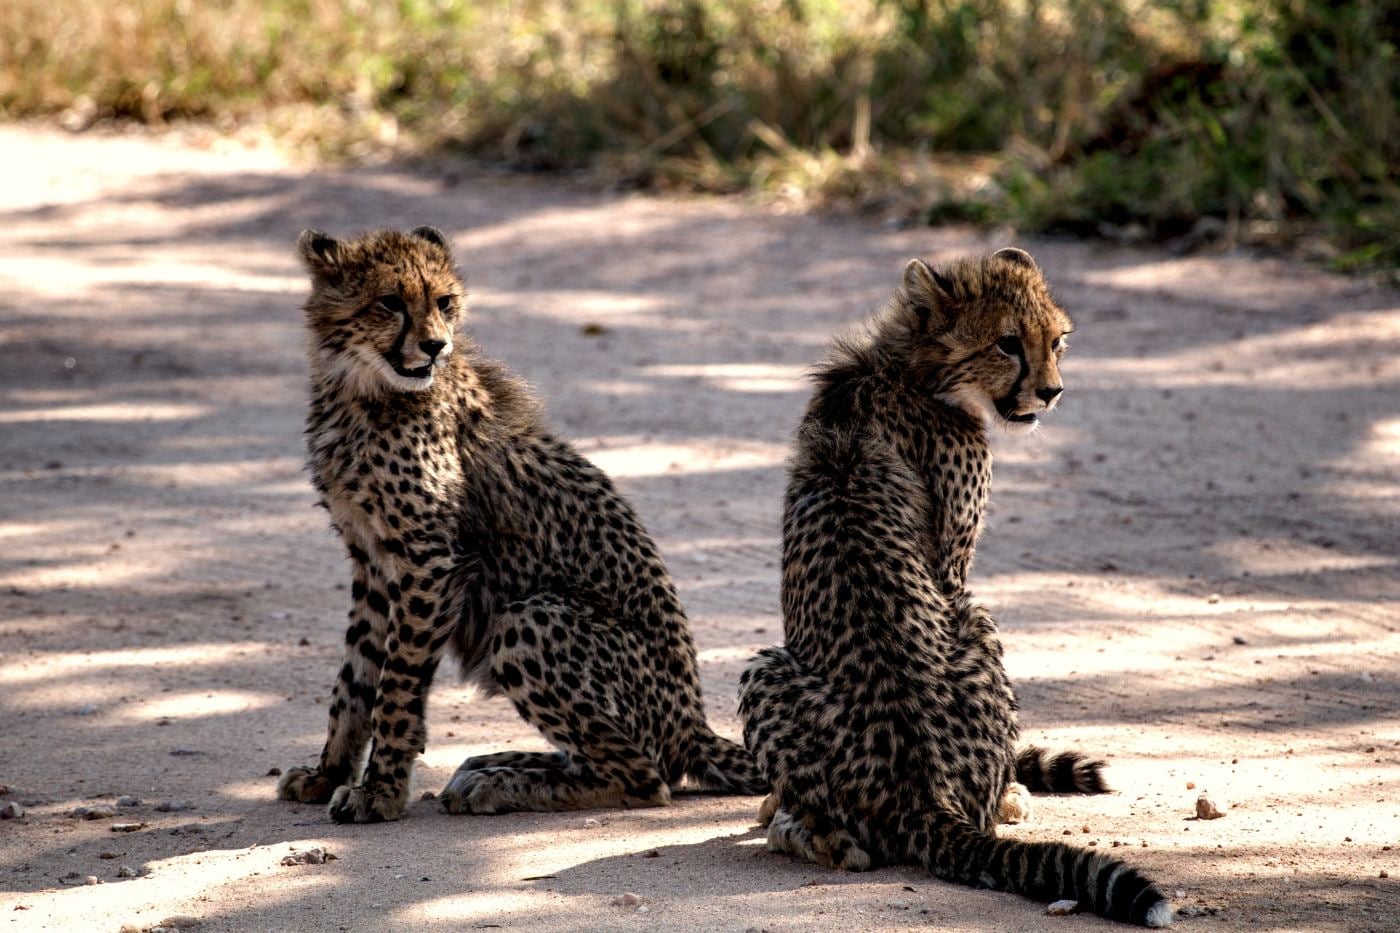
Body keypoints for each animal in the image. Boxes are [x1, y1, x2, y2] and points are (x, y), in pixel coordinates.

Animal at [275, 226, 765, 823]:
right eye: (389, 302)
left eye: (444, 302)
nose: (436, 346)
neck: (362, 389)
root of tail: (692, 727)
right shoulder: (372, 561)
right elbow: (354, 679)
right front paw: (327, 775)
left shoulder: (428, 561)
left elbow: (395, 685)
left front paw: (380, 792)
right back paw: (495, 766)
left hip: (528, 618)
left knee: (646, 778)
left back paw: (499, 785)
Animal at [738, 248, 1173, 926]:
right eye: (1006, 343)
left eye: (1057, 340)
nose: (1052, 392)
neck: (910, 369)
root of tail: (921, 795)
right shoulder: (954, 570)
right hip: (961, 622)